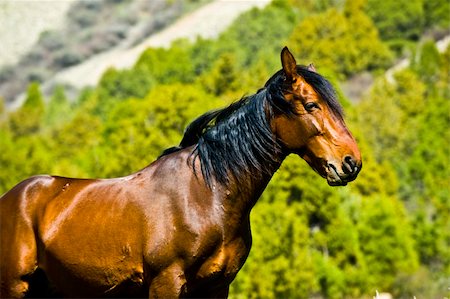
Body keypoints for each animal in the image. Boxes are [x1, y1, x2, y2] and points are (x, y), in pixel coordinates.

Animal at [0, 47, 358, 298]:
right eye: (311, 105)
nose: (351, 162)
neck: (207, 195)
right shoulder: (167, 283)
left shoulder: (216, 287)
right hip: (14, 287)